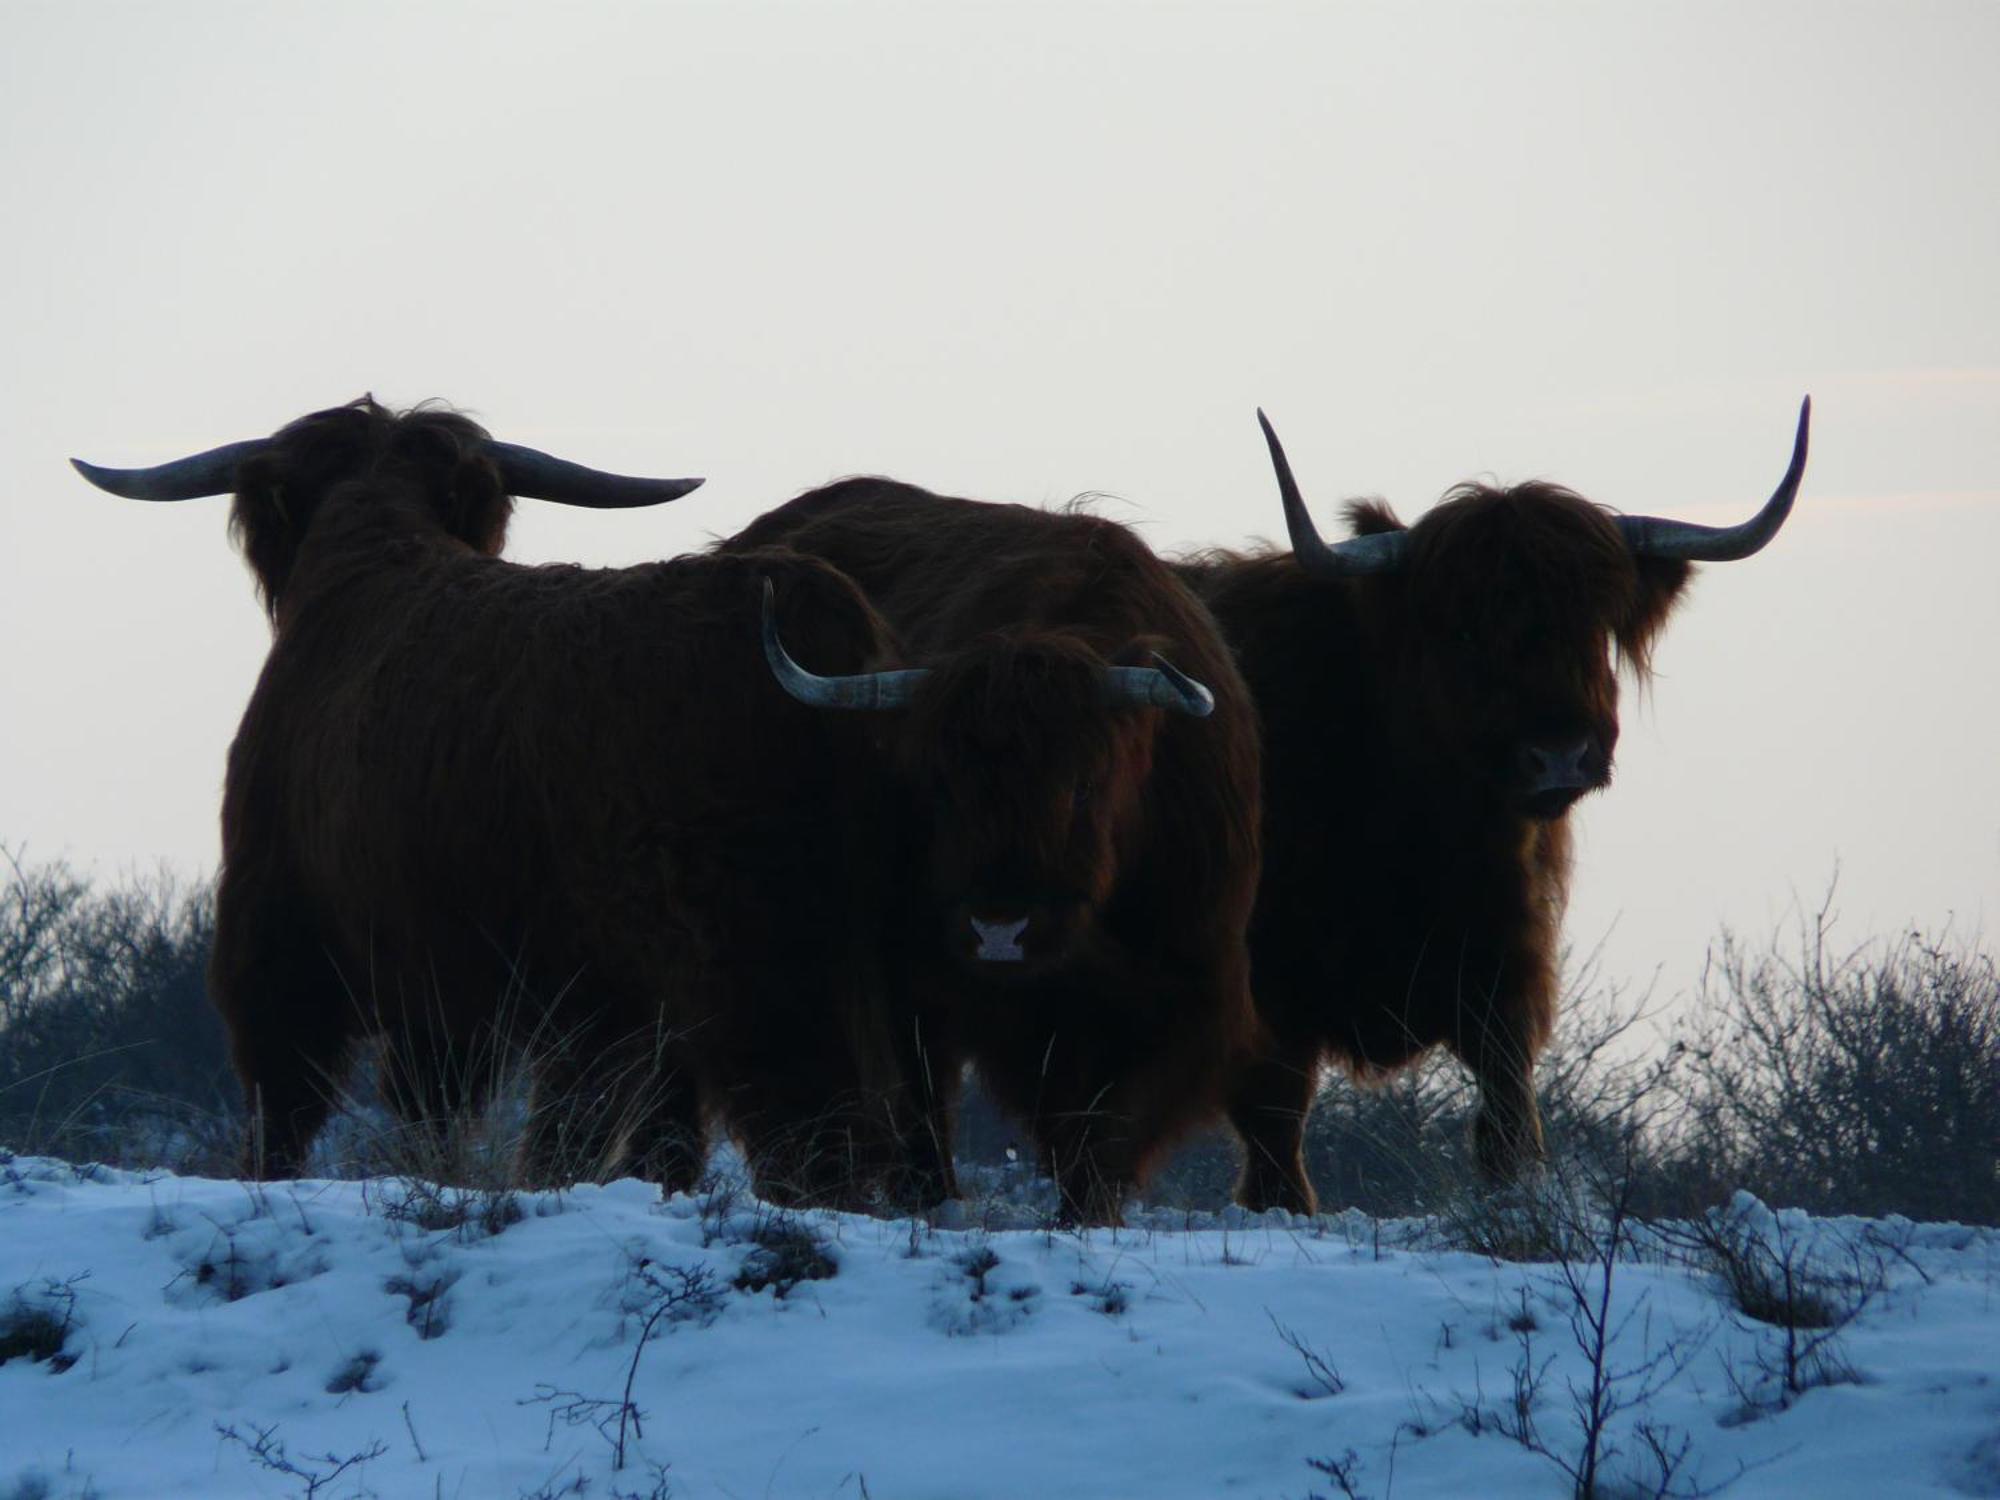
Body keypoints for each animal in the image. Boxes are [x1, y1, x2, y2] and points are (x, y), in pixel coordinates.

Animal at [728, 488, 1256, 1224]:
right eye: (939, 787)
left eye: (1083, 784)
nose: (1000, 931)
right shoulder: (912, 976)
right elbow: (920, 1096)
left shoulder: (1191, 983)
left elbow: (1113, 1121)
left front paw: (1086, 1213)